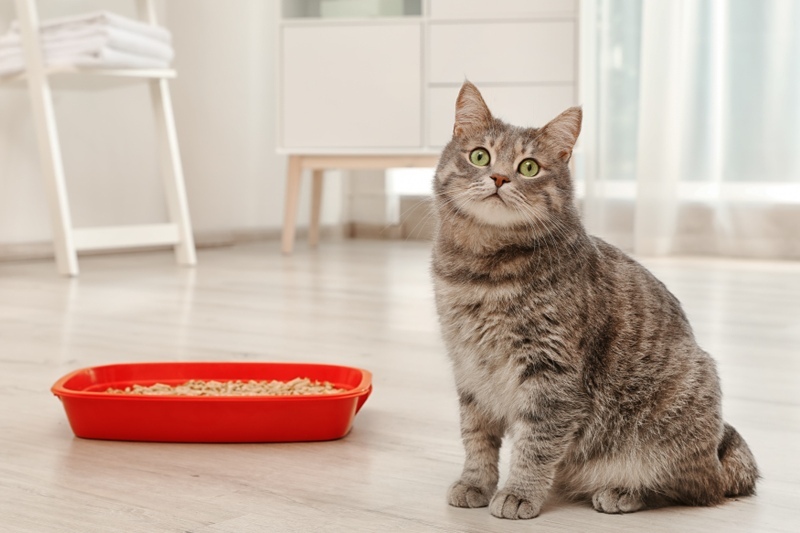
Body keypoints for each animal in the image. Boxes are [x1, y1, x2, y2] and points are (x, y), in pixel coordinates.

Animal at [432, 81, 756, 516]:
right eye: (480, 156)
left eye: (529, 167)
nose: (499, 177)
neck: (481, 271)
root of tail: (719, 453)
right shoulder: (469, 369)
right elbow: (476, 436)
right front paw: (475, 483)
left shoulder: (552, 372)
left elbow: (536, 444)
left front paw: (519, 492)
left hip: (679, 411)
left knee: (693, 488)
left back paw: (623, 491)